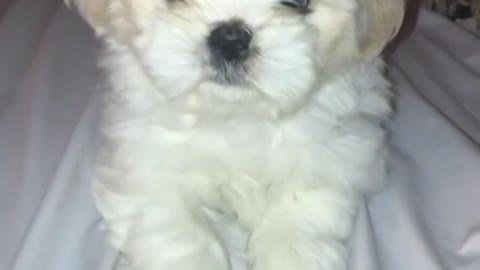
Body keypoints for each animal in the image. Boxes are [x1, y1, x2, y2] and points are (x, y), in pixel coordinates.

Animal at [67, 0, 404, 270]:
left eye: (297, 2)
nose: (230, 37)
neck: (235, 118)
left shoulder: (342, 148)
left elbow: (306, 201)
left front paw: (290, 254)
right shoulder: (143, 166)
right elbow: (178, 232)